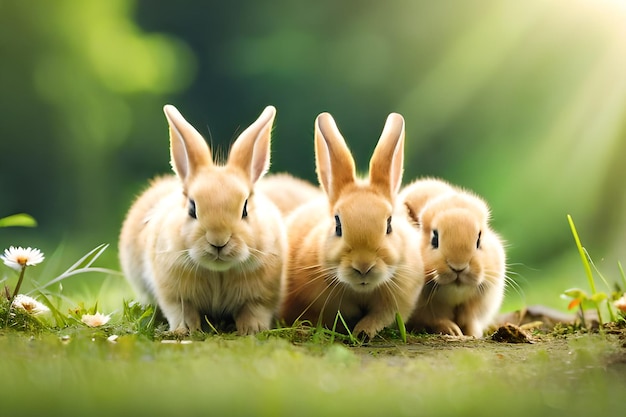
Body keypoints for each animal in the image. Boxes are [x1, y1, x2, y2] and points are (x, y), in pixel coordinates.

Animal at [118, 104, 286, 334]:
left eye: (245, 209)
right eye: (192, 208)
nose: (218, 241)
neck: (218, 272)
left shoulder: (261, 297)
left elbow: (253, 311)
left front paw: (252, 330)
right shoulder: (173, 295)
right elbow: (182, 311)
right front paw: (186, 330)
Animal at [280, 110, 422, 338]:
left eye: (389, 225)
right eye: (337, 225)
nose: (363, 266)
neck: (361, 290)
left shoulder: (396, 301)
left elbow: (379, 317)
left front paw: (363, 332)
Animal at [402, 187, 504, 336]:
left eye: (479, 240)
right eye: (434, 239)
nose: (458, 267)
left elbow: (469, 321)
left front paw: (472, 334)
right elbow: (436, 319)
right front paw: (453, 331)